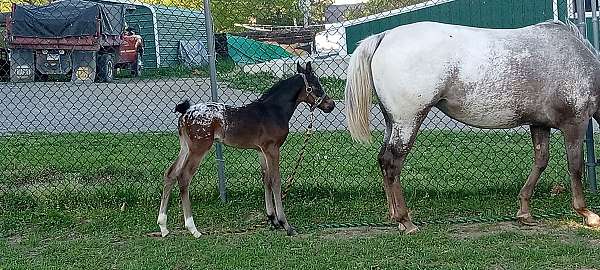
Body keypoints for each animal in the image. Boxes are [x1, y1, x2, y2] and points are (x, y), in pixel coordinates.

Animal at [157, 62, 336, 237]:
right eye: (316, 85)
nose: (331, 105)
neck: (274, 110)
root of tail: (185, 112)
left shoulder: (261, 150)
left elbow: (266, 179)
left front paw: (272, 219)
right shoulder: (273, 148)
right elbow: (276, 181)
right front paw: (286, 224)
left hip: (185, 147)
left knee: (170, 174)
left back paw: (163, 226)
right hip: (198, 148)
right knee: (184, 177)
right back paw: (193, 228)